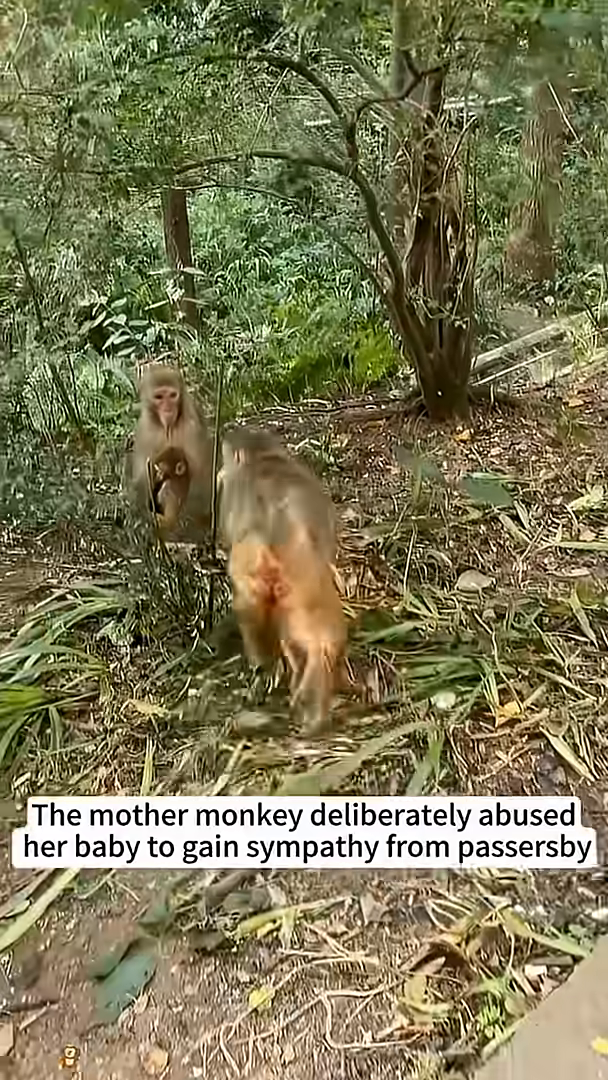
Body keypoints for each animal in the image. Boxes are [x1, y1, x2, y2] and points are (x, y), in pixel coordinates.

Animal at [131, 364, 212, 535]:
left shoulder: (191, 426)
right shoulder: (145, 430)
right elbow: (140, 479)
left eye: (172, 395)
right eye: (159, 397)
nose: (168, 409)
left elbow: (200, 479)